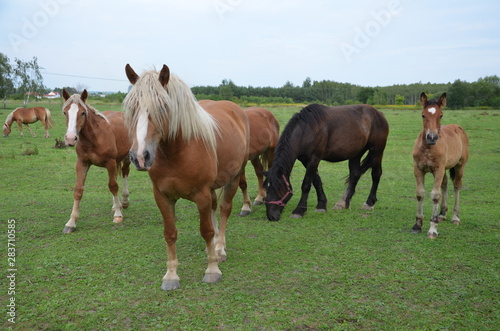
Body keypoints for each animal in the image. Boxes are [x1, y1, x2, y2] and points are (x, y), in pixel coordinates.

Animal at [60, 88, 132, 233]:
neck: (94, 138)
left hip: (126, 157)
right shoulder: (82, 163)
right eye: (65, 112)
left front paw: (118, 215)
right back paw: (116, 205)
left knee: (124, 173)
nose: (70, 139)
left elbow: (113, 186)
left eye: (82, 112)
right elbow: (78, 190)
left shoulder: (110, 162)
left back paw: (124, 201)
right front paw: (71, 222)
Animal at [123, 64, 248, 290]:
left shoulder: (201, 195)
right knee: (215, 208)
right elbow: (170, 233)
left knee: (224, 209)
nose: (140, 157)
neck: (178, 152)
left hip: (234, 178)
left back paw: (219, 249)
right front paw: (171, 276)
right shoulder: (162, 197)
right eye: (132, 107)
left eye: (163, 106)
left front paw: (212, 270)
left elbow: (206, 230)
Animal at [410, 92, 468, 240]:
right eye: (423, 115)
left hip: (459, 166)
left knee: (457, 185)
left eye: (441, 115)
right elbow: (420, 193)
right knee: (445, 184)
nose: (432, 137)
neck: (428, 149)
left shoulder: (438, 169)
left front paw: (432, 229)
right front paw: (417, 225)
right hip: (445, 169)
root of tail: (458, 128)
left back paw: (455, 217)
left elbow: (435, 195)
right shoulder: (418, 169)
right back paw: (442, 214)